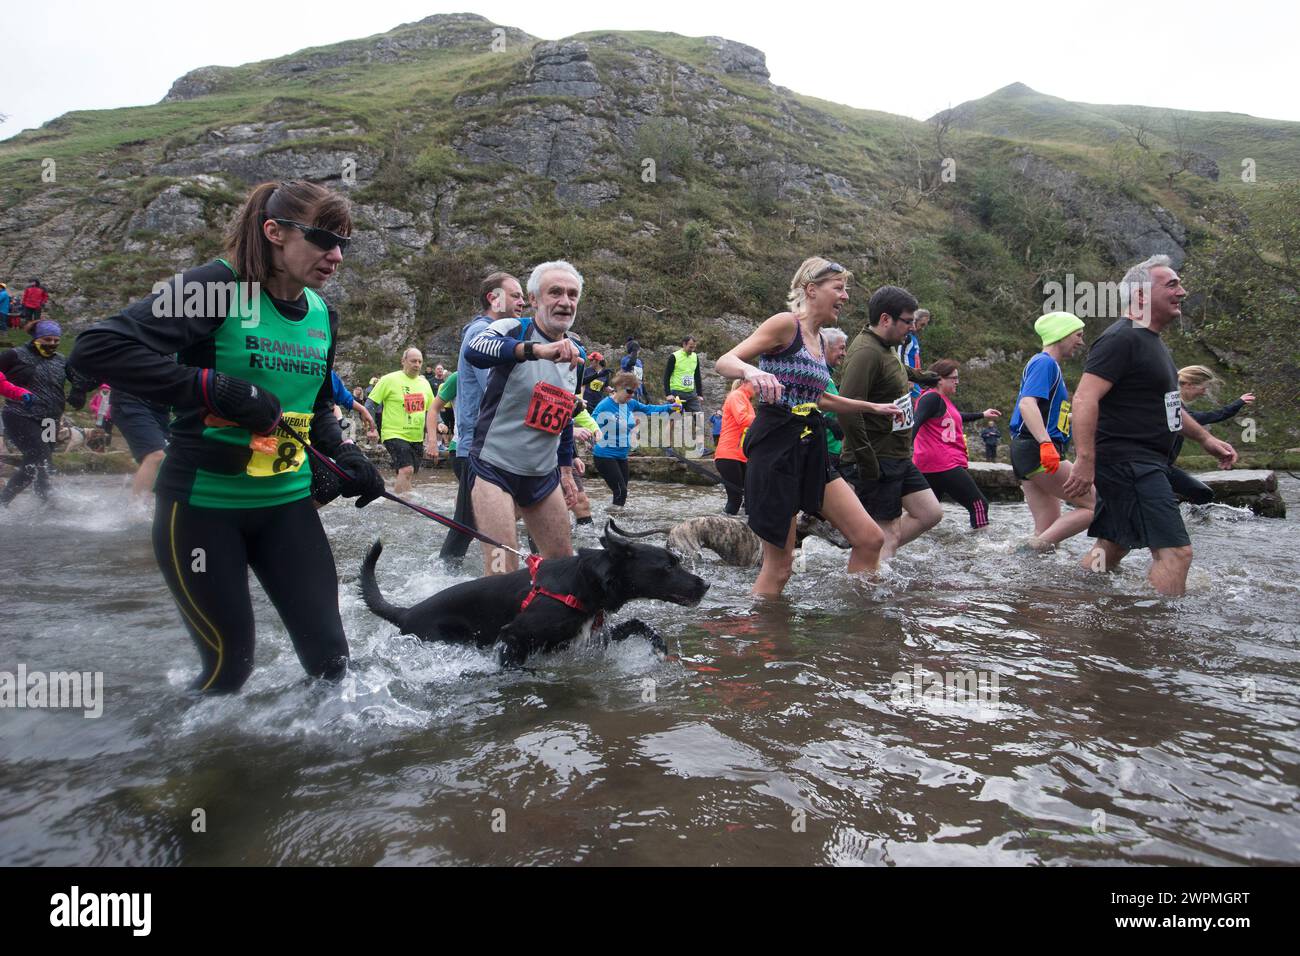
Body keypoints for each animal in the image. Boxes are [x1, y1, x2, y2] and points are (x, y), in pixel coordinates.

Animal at [361, 522, 712, 665]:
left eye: (676, 561)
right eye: (668, 566)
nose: (705, 585)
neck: (582, 583)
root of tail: (406, 611)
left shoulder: (587, 637)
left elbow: (638, 624)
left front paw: (659, 646)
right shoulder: (514, 635)